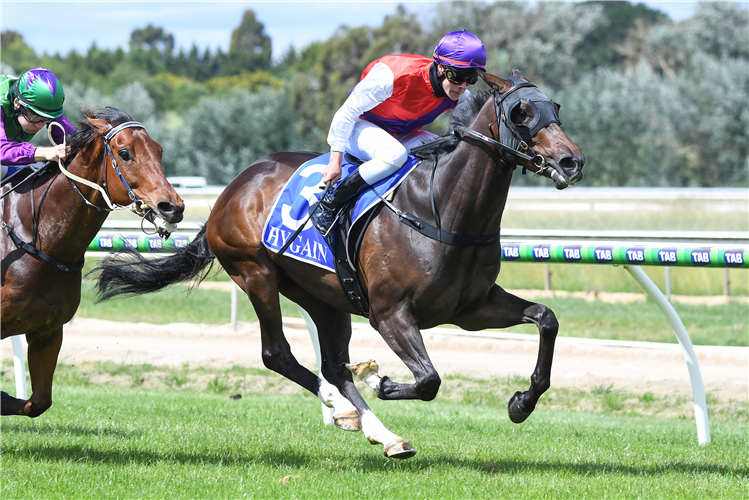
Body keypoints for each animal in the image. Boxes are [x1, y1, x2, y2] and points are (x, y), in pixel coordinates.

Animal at [2, 106, 183, 418]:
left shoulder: (47, 331)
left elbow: (38, 402)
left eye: (159, 150)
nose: (173, 207)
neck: (37, 240)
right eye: (125, 153)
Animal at [93, 70, 584, 458]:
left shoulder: (472, 309)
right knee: (278, 354)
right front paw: (383, 383)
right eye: (522, 112)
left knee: (332, 365)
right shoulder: (390, 313)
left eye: (555, 107)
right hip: (256, 274)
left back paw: (380, 432)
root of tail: (233, 188)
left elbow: (547, 318)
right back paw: (348, 410)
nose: (571, 161)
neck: (442, 208)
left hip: (324, 297)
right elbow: (428, 379)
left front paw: (521, 403)